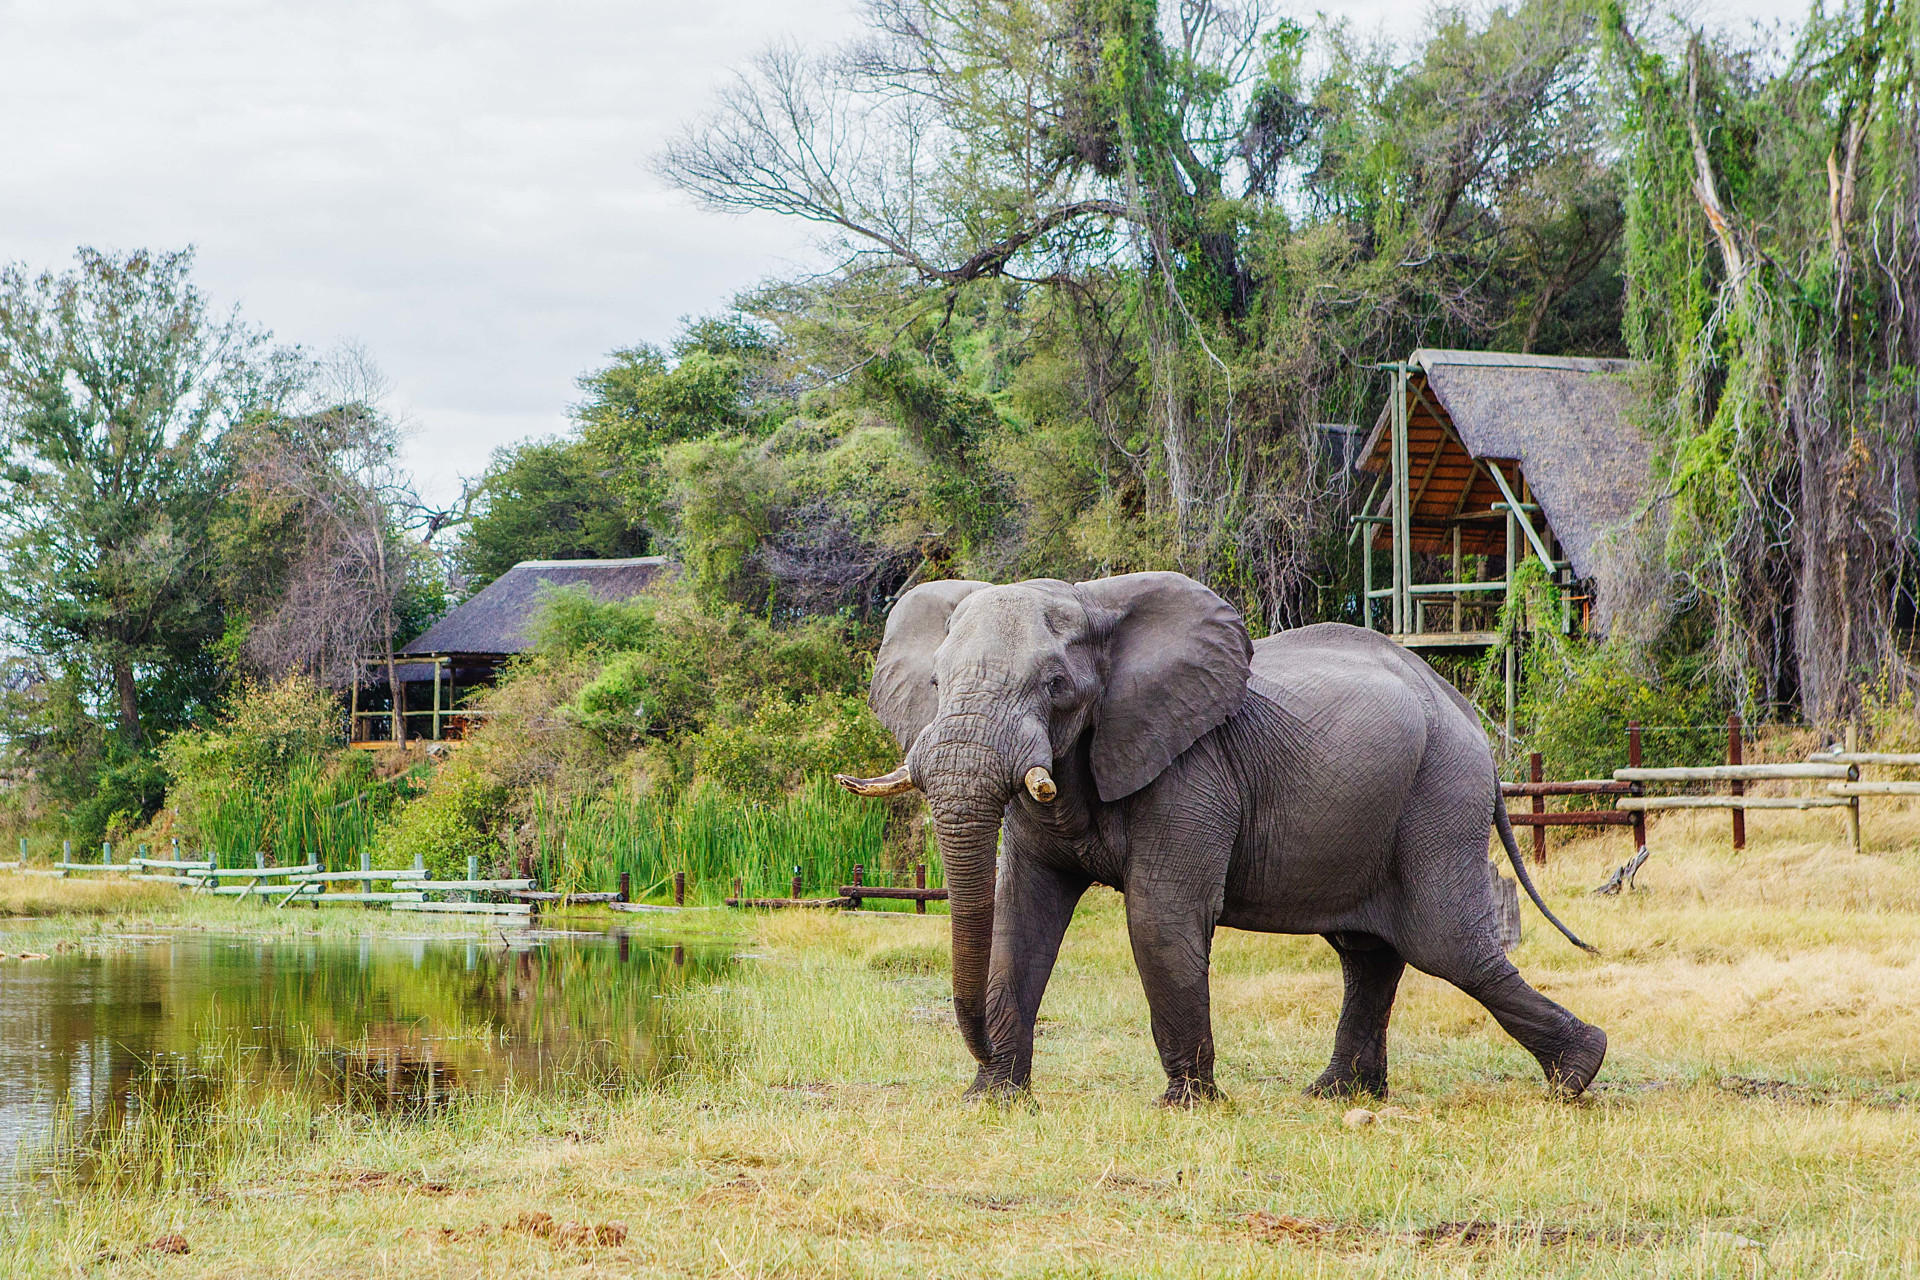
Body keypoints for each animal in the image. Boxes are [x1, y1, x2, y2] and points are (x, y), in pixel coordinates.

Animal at [840, 571, 1605, 1105]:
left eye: (1055, 684)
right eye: (936, 683)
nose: (976, 1055)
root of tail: (1471, 719)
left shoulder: (1192, 769)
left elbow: (1160, 918)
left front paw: (1186, 1106)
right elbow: (1021, 916)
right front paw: (992, 1099)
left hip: (1438, 795)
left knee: (1446, 945)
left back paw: (1577, 1075)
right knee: (1371, 953)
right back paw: (1337, 1094)